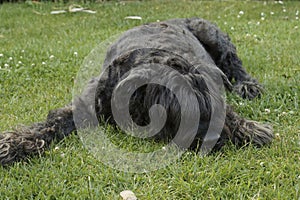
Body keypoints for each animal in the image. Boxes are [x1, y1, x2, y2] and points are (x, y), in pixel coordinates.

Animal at [0, 17, 274, 166]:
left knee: (234, 63)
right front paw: (12, 144)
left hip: (211, 34)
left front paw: (250, 129)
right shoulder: (85, 105)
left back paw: (247, 85)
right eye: (183, 109)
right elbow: (51, 124)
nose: (214, 138)